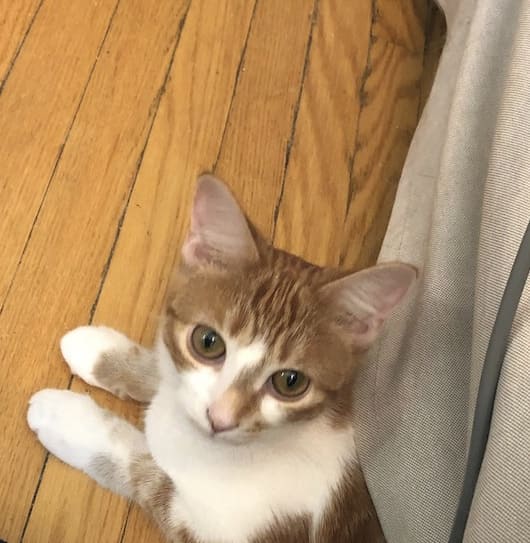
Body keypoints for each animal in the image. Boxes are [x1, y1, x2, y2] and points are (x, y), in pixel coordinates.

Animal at [26, 175, 414, 543]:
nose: (221, 419)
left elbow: (147, 473)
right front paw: (101, 352)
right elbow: (168, 370)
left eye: (290, 382)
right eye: (208, 342)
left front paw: (70, 421)